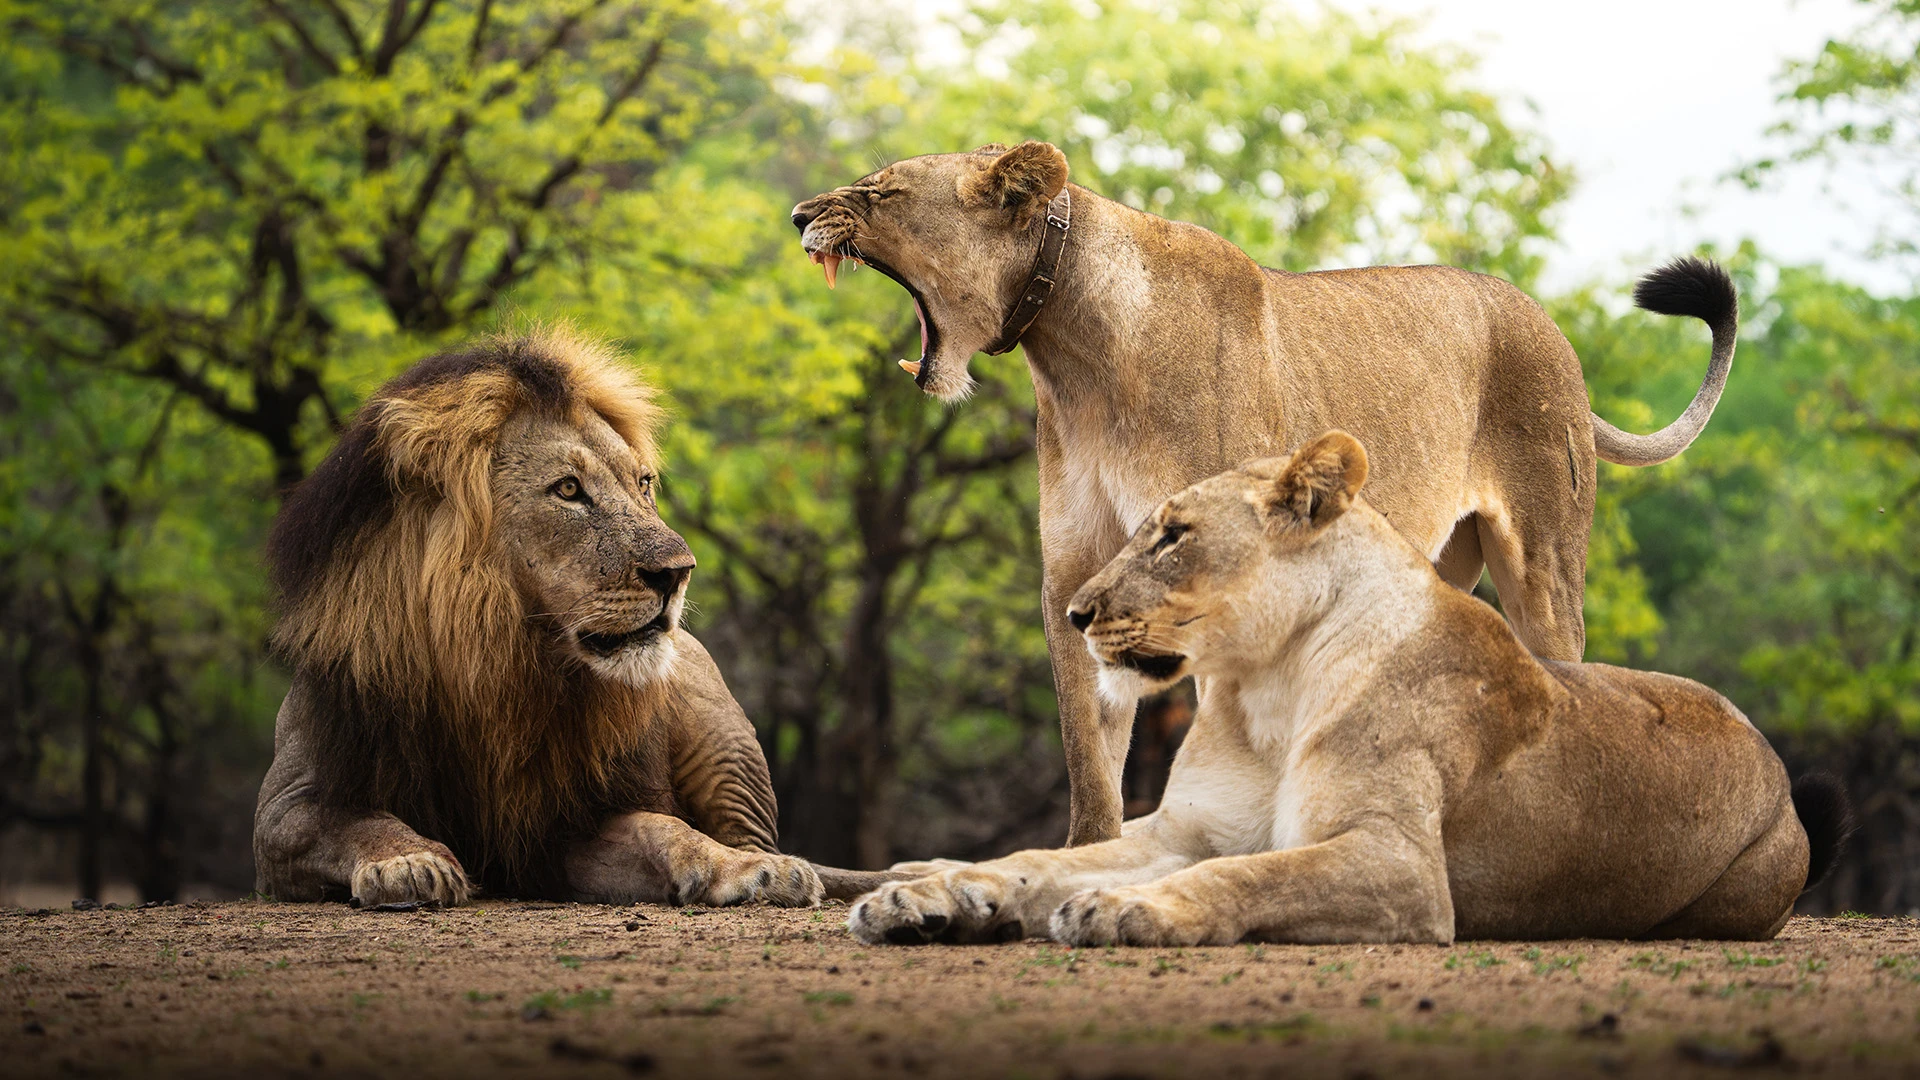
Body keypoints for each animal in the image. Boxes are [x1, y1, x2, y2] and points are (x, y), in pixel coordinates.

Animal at [253, 330, 899, 907]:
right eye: (568, 490)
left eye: (643, 483)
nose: (680, 572)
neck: (492, 661)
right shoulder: (285, 807)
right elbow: (358, 822)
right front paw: (407, 861)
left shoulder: (560, 829)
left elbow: (665, 828)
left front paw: (742, 870)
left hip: (720, 732)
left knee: (750, 832)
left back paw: (770, 864)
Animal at [791, 142, 1740, 847]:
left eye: (879, 190)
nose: (799, 215)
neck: (1074, 356)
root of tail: (1547, 323)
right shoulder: (1076, 575)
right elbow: (1088, 752)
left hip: (1544, 560)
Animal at [846, 431, 1853, 947]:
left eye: (1172, 535)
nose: (1077, 611)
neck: (1264, 689)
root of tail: (1770, 759)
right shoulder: (1180, 831)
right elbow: (1038, 861)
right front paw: (932, 896)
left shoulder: (1401, 866)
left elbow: (1247, 874)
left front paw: (1130, 909)